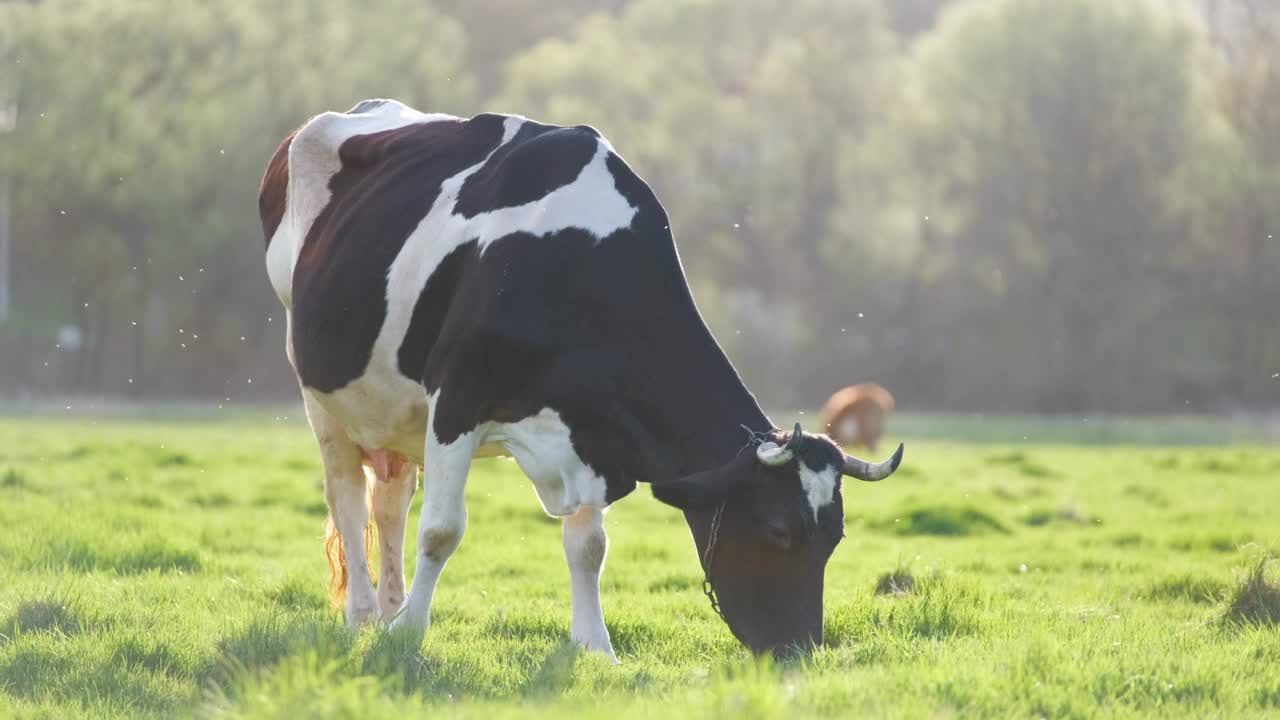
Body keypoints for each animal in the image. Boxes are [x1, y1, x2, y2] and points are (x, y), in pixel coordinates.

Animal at [257, 98, 901, 661]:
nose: (801, 650)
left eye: (835, 538)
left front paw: (595, 647)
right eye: (776, 529)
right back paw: (367, 615)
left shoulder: (593, 433)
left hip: (393, 408)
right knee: (346, 498)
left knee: (389, 501)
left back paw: (389, 605)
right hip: (320, 392)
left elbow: (589, 546)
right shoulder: (456, 399)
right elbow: (441, 531)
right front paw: (410, 633)